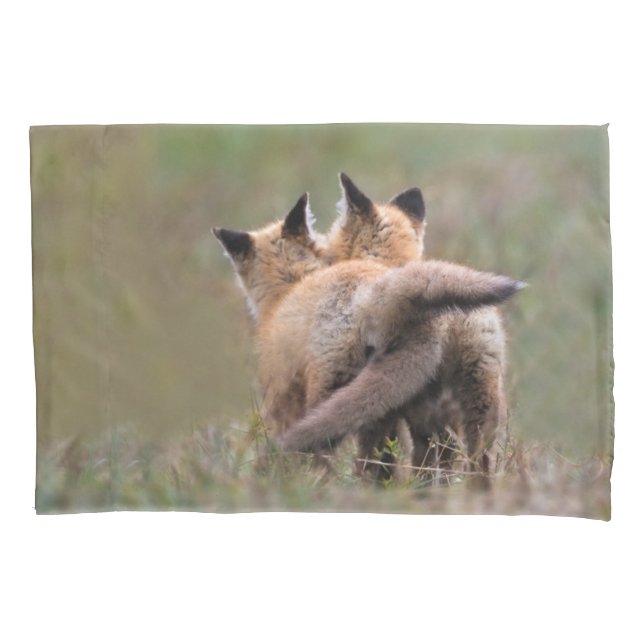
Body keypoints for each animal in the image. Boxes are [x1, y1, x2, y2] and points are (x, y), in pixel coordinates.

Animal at [214, 176, 523, 482]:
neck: (290, 287)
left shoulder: (281, 394)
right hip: (464, 406)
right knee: (460, 464)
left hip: (340, 396)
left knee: (333, 459)